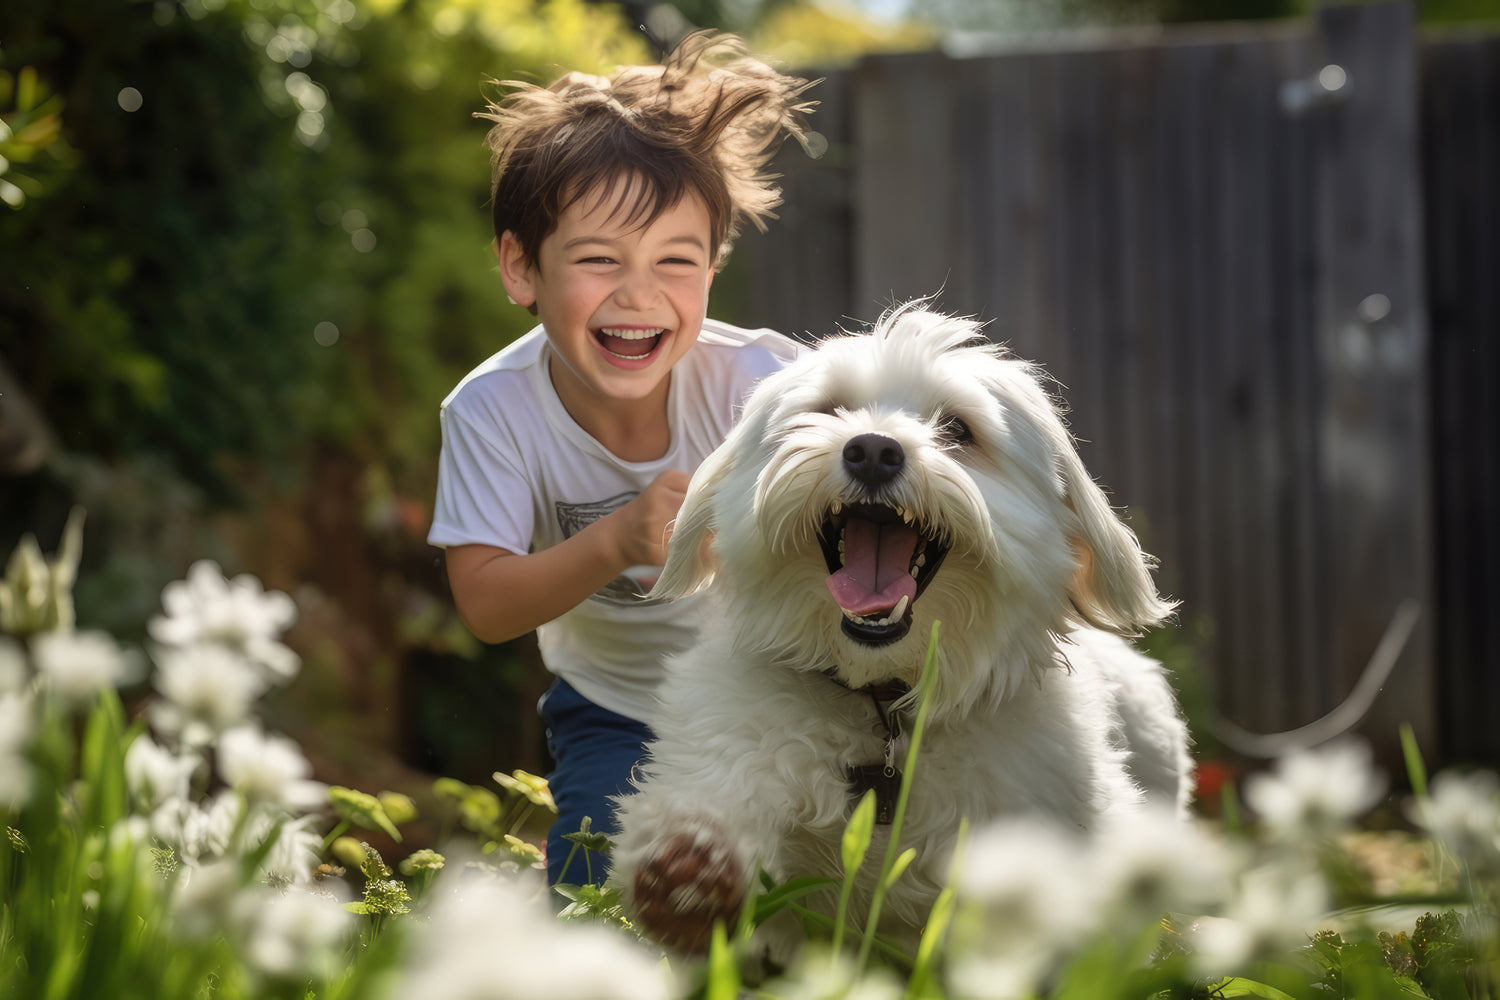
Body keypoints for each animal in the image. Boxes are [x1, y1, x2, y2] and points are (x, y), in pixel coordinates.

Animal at [609, 302, 1194, 959]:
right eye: (829, 409)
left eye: (959, 429)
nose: (871, 450)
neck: (883, 705)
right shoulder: (736, 742)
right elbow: (722, 800)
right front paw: (689, 875)